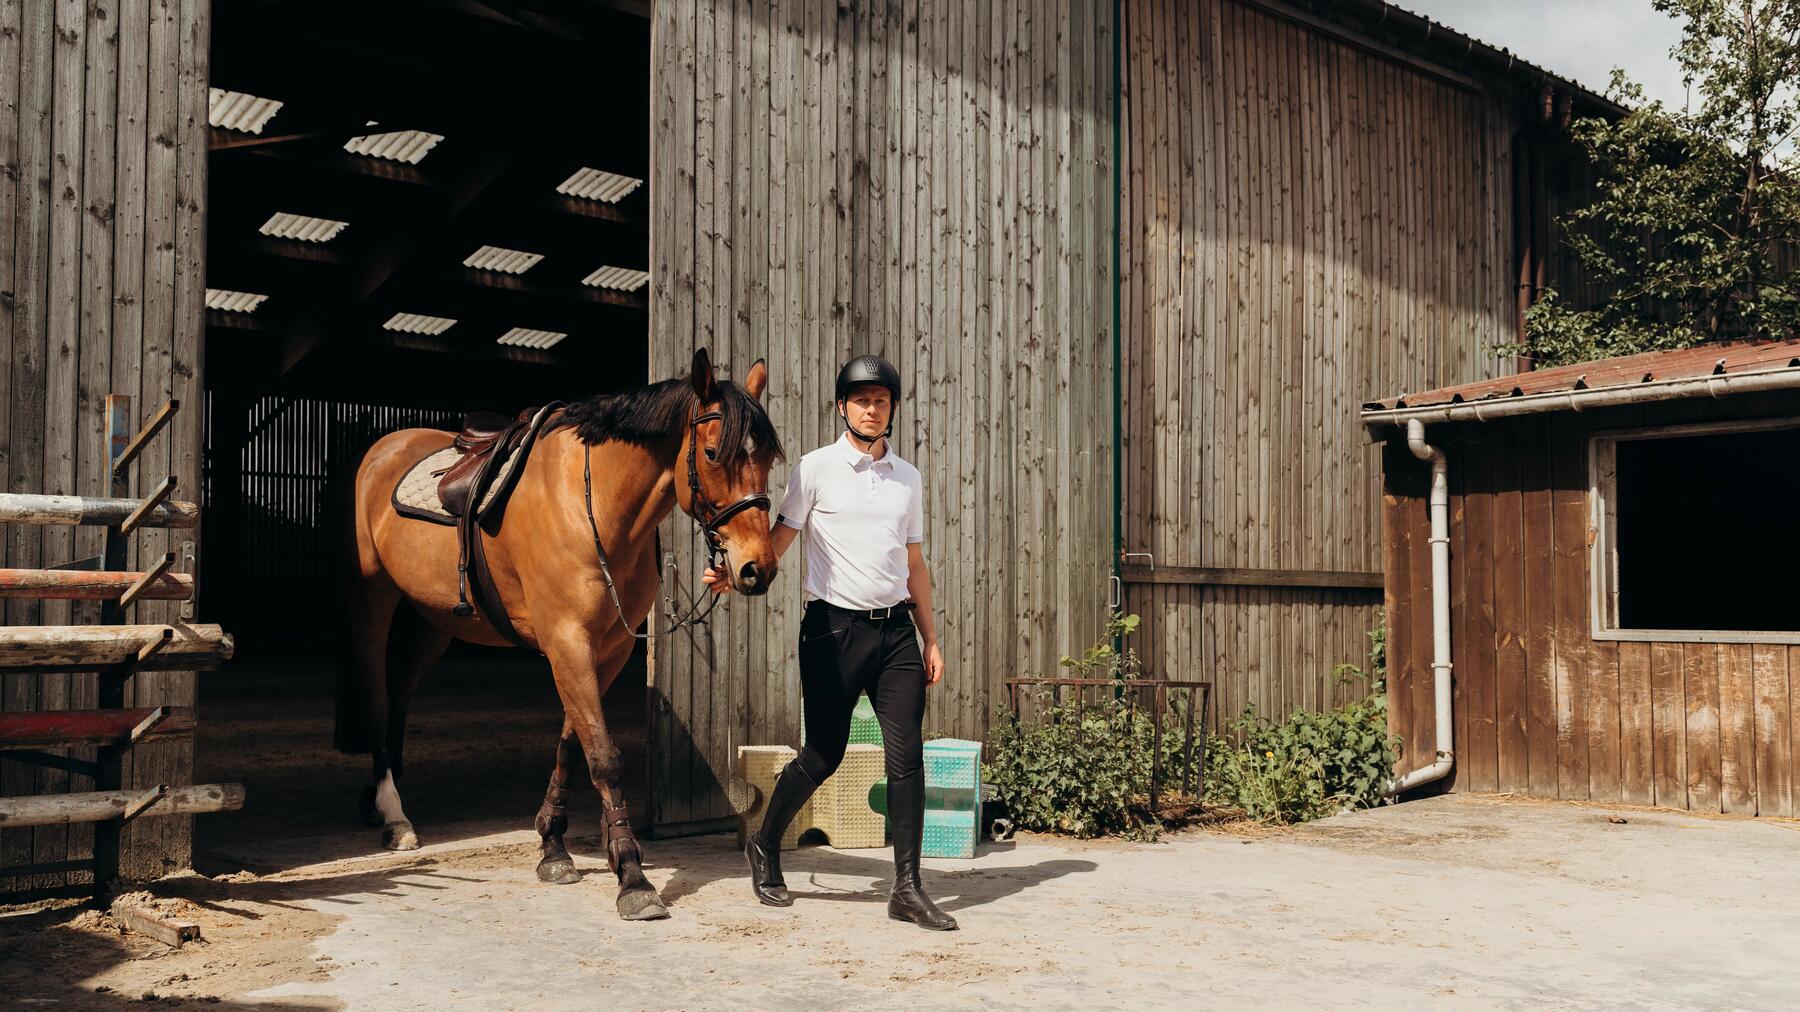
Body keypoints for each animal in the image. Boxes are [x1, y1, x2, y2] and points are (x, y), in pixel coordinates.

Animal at [335, 348, 782, 921]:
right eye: (710, 453)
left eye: (767, 459)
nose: (756, 570)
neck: (595, 506)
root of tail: (376, 451)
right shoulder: (568, 643)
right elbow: (605, 758)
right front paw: (633, 877)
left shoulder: (606, 649)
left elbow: (573, 744)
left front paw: (553, 846)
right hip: (370, 603)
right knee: (375, 698)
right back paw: (395, 817)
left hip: (430, 625)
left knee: (397, 702)